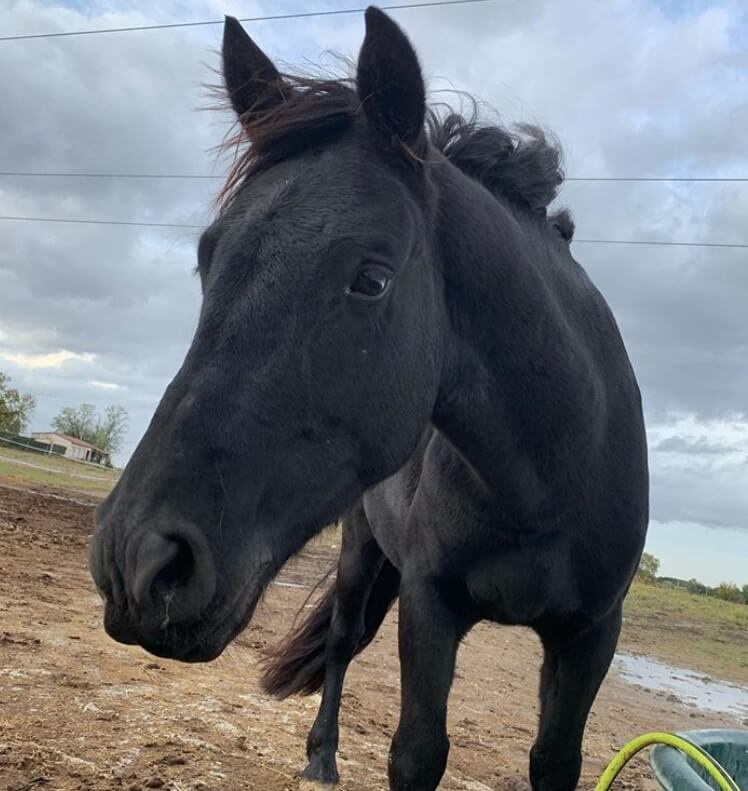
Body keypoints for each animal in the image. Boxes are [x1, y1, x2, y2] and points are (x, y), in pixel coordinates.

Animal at [89, 7, 648, 791]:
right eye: (207, 258)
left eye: (372, 280)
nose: (136, 560)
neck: (553, 466)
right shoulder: (429, 604)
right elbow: (415, 752)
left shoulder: (592, 633)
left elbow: (553, 761)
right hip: (359, 551)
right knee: (343, 639)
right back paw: (321, 756)